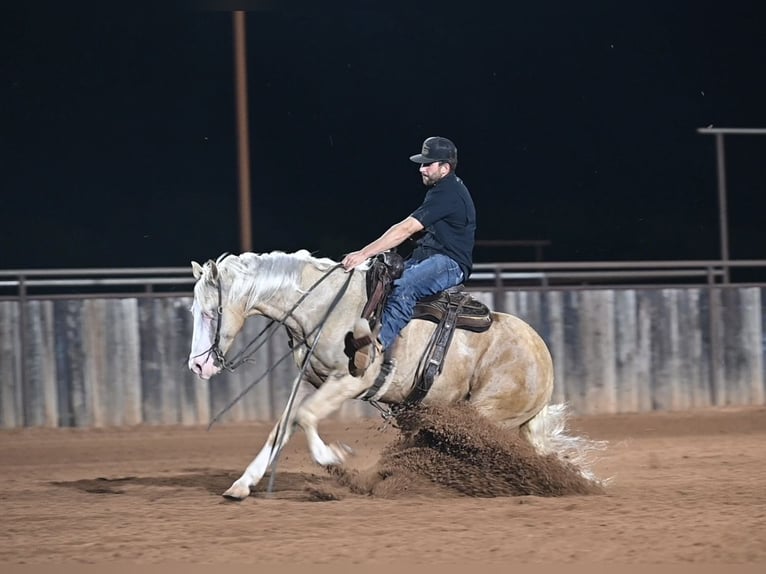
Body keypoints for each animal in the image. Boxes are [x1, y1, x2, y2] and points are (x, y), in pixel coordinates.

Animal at [188, 249, 592, 500]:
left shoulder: (351, 380)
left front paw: (334, 457)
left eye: (210, 312)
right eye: (194, 310)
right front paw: (242, 484)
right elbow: (285, 424)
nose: (197, 365)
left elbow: (304, 417)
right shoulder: (311, 380)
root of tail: (543, 357)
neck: (326, 306)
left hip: (484, 414)